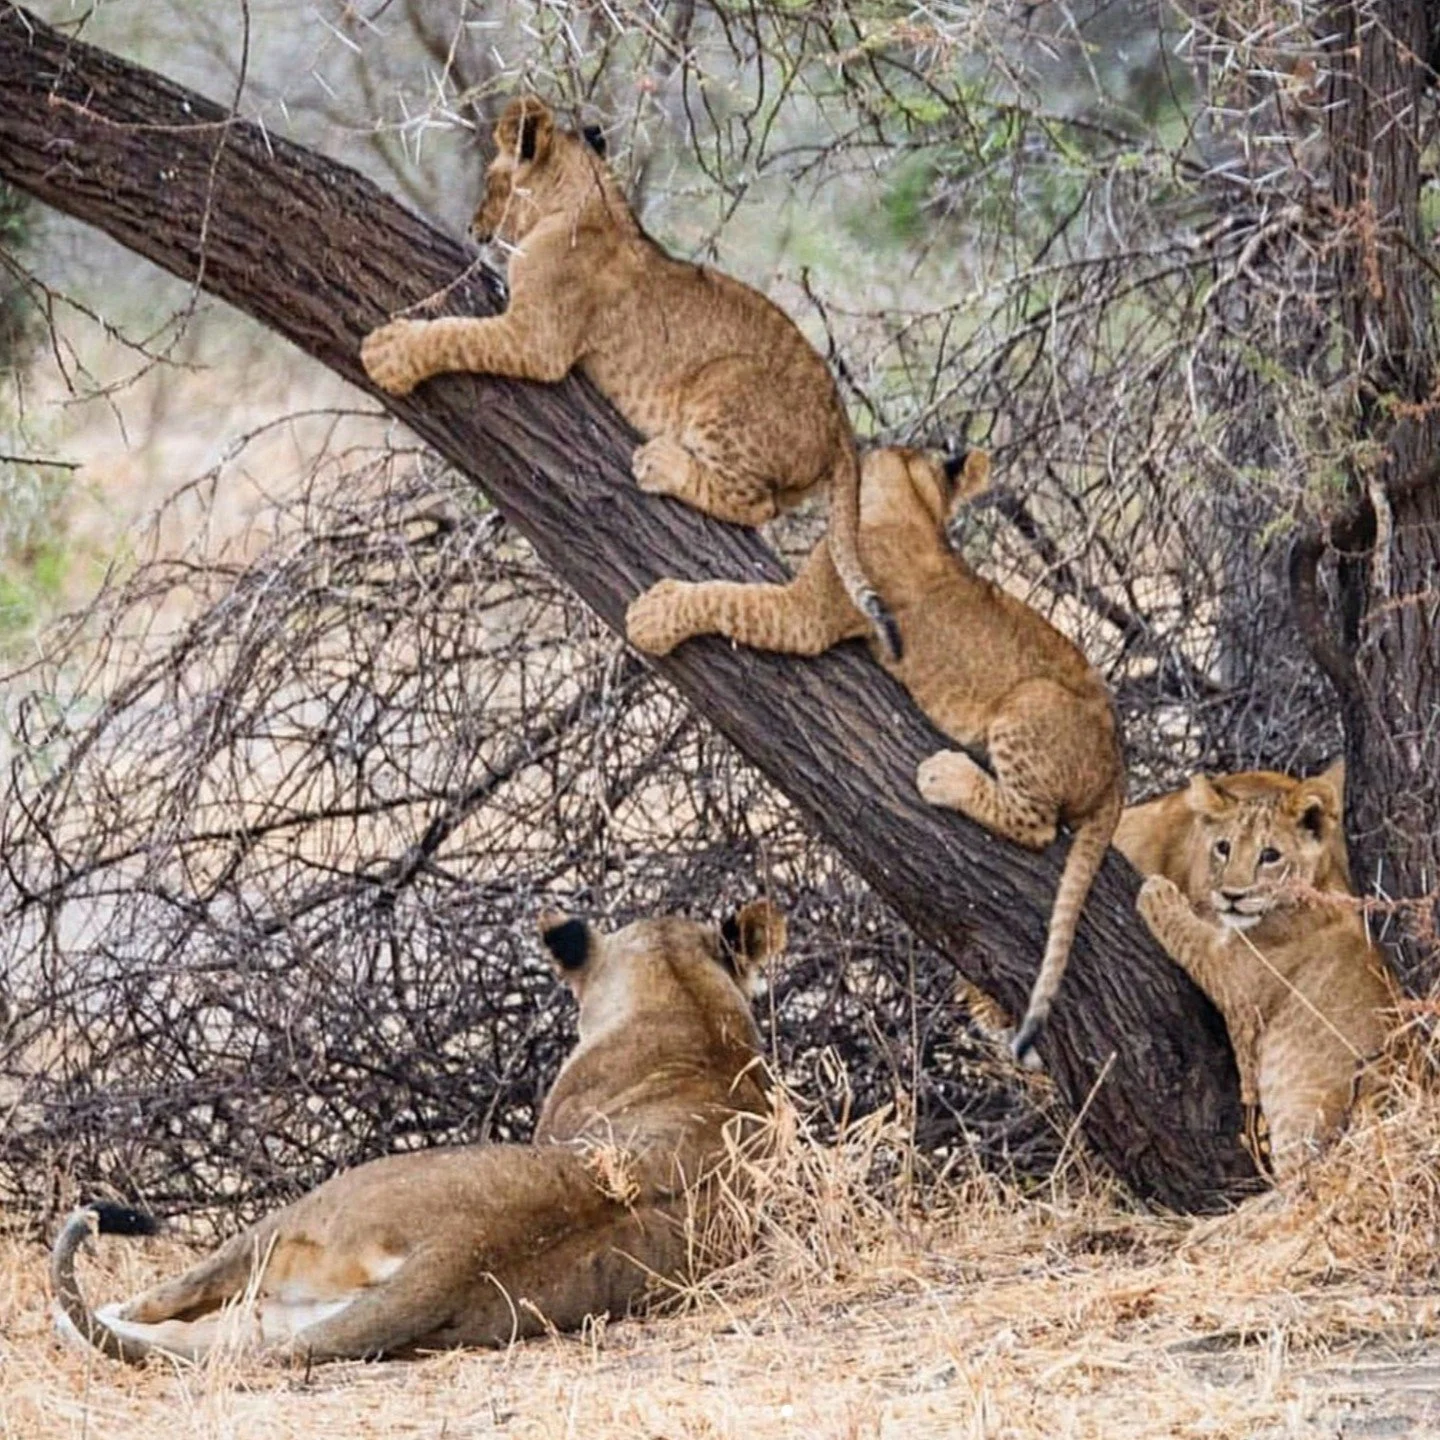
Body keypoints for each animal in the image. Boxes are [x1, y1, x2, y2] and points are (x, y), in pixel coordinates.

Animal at [51, 900, 785, 1364]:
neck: (693, 1011)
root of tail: (461, 1250)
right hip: (296, 1315)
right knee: (211, 1344)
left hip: (298, 1218)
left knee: (168, 1301)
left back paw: (83, 1318)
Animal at [360, 95, 898, 660]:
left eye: (491, 179)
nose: (470, 227)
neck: (582, 202)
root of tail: (841, 425)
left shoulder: (536, 341)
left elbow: (455, 334)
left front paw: (390, 353)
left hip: (724, 381)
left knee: (756, 504)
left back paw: (660, 463)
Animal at [625, 447, 1124, 1067]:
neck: (915, 506)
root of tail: (1119, 769)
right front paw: (666, 468)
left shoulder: (806, 615)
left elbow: (726, 596)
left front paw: (653, 616)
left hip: (1030, 702)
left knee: (1036, 824)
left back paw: (944, 775)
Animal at [1130, 764, 1398, 1177]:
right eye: (1223, 847)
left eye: (1269, 855)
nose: (1231, 895)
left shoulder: (1229, 971)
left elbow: (1187, 933)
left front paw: (1156, 892)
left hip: (1304, 1113)